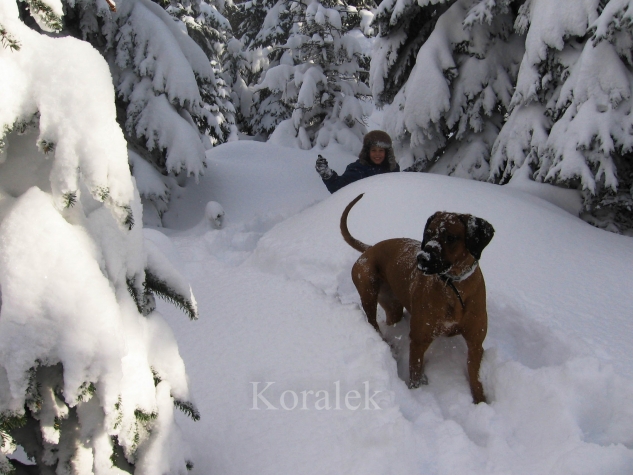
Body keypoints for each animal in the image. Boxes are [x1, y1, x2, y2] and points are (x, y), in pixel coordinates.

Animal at [340, 194, 494, 406]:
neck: (453, 288)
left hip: (393, 305)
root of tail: (370, 248)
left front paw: (480, 401)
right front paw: (417, 391)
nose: (422, 258)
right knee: (372, 322)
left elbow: (475, 377)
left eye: (451, 237)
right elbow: (415, 370)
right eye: (427, 234)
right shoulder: (420, 338)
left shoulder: (475, 343)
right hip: (368, 290)